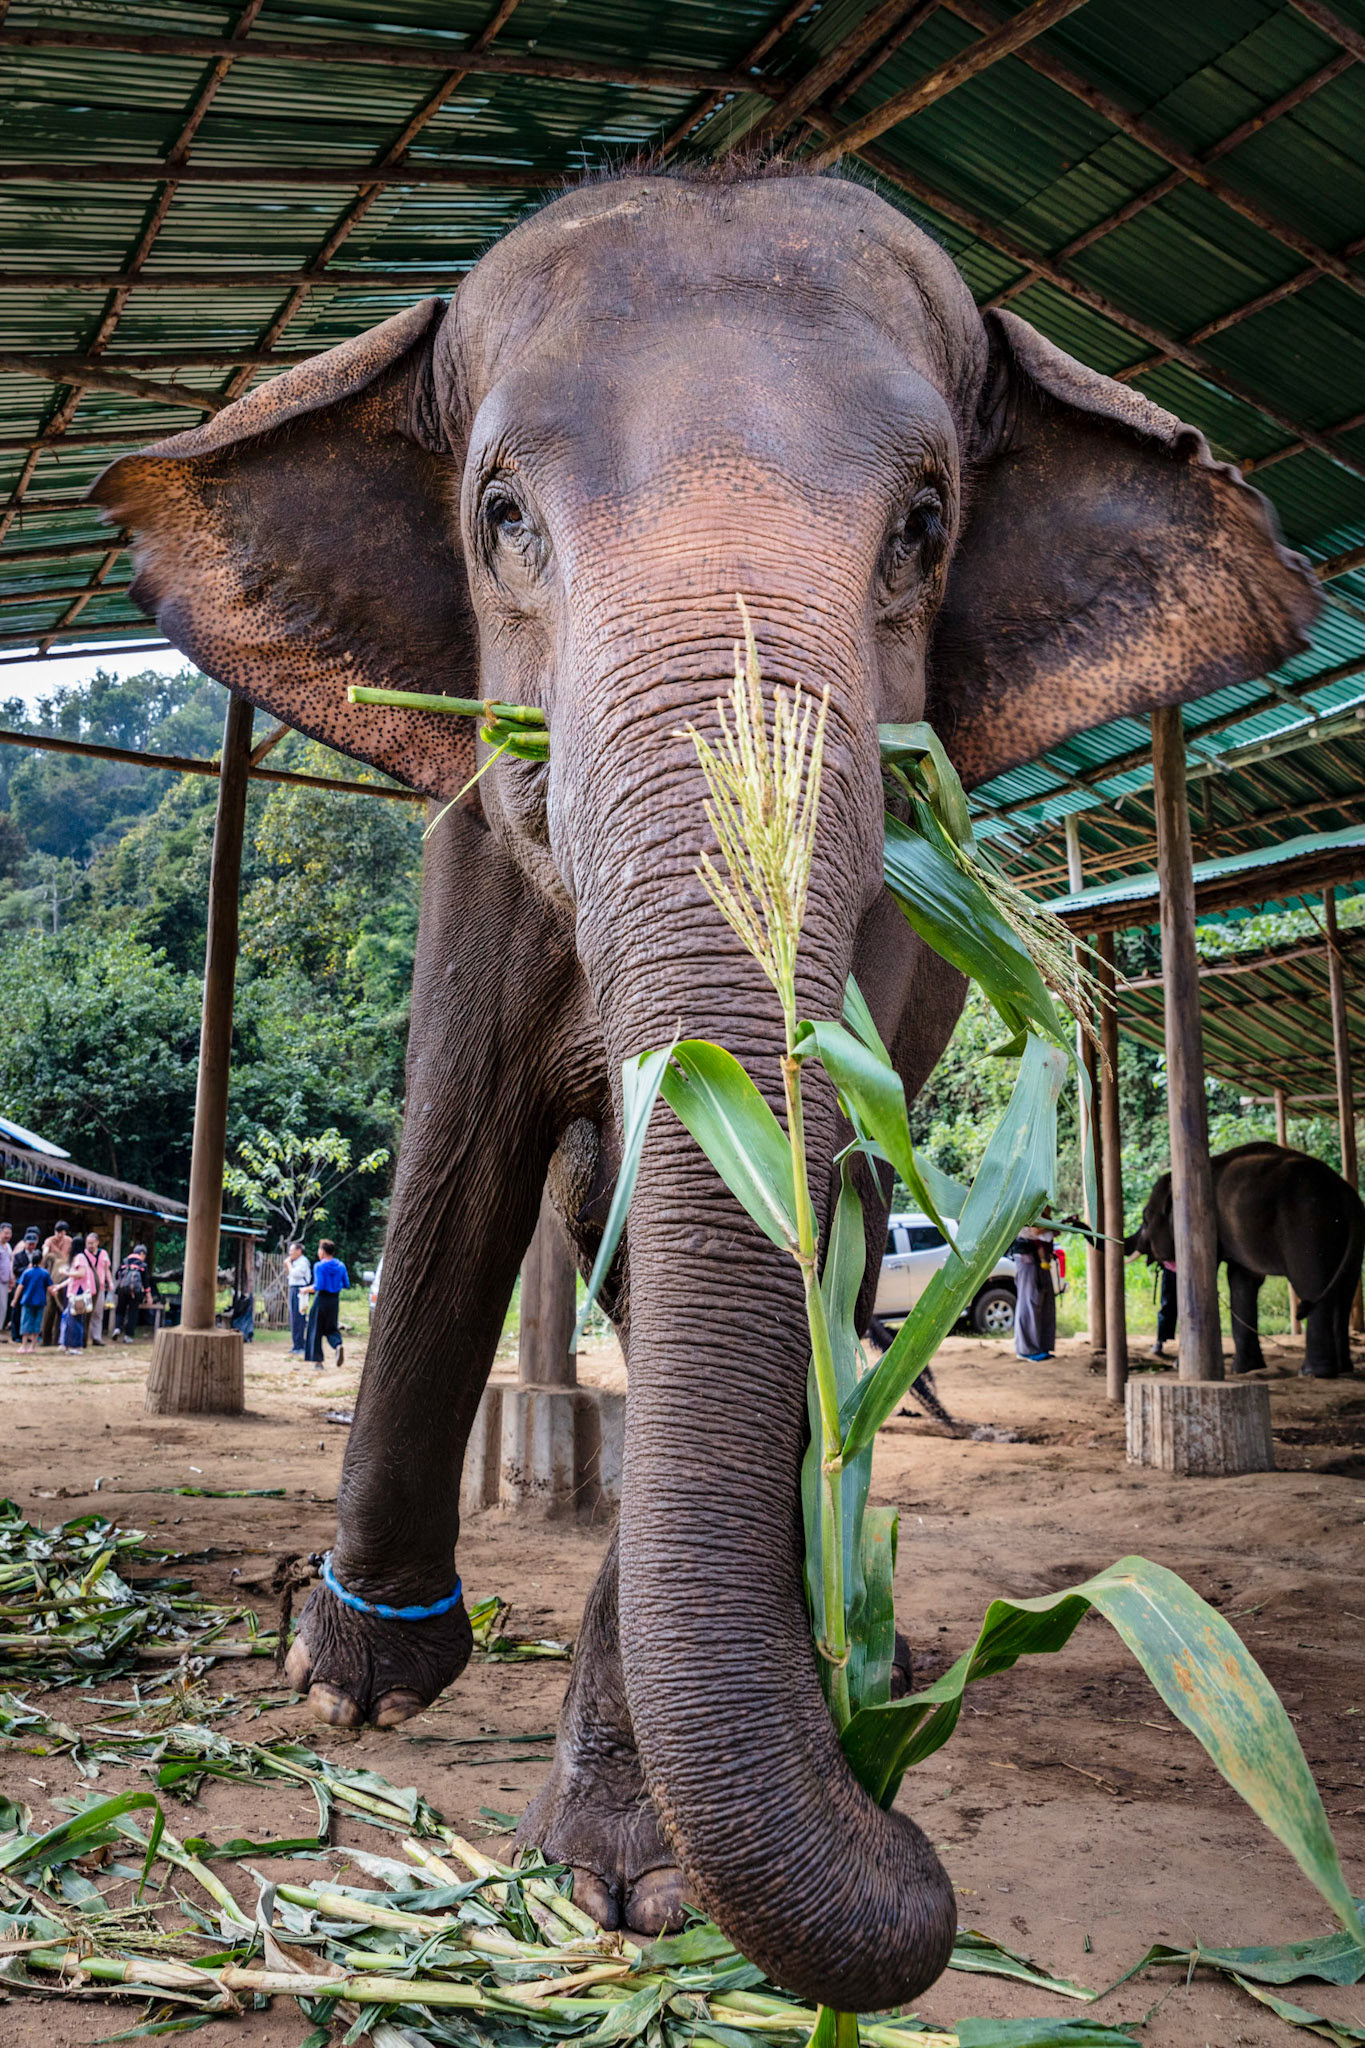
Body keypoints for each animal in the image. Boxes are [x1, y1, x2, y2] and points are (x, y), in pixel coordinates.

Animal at [92, 165, 1318, 2011]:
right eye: (502, 515)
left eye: (923, 525)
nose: (895, 1807)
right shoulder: (477, 834)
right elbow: (456, 1145)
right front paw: (356, 1683)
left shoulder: (886, 913)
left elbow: (785, 1229)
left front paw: (628, 1879)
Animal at [1130, 1142, 1364, 1379]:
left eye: (1145, 1219)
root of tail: (1345, 1193)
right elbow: (1242, 1281)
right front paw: (1246, 1370)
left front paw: (1184, 1366)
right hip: (1348, 1240)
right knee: (1345, 1292)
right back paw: (1343, 1368)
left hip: (1309, 1227)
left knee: (1312, 1288)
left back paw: (1312, 1373)